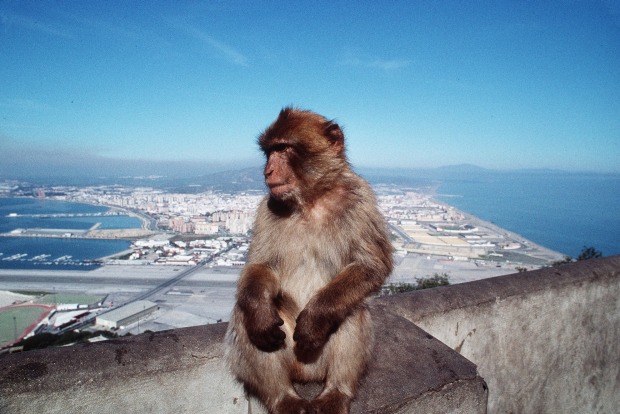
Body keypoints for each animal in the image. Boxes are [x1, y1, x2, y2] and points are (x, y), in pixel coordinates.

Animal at [226, 108, 392, 412]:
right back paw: (283, 398)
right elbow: (261, 266)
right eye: (270, 151)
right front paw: (259, 314)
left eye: (284, 148)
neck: (311, 199)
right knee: (245, 320)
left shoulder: (360, 198)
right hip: (289, 350)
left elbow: (370, 265)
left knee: (351, 310)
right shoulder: (268, 206)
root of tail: (307, 375)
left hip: (315, 354)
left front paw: (315, 318)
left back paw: (336, 393)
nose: (267, 171)